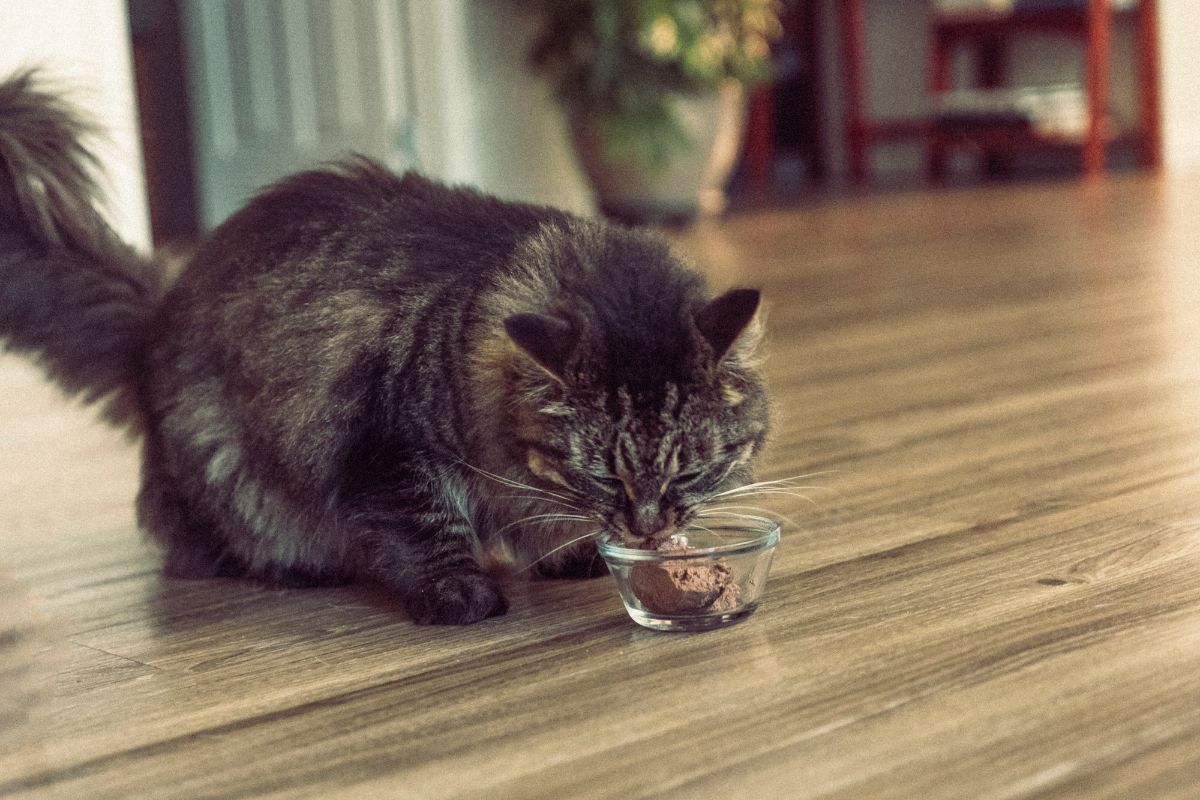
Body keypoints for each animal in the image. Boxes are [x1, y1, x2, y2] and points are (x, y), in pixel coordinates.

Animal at [0, 73, 768, 623]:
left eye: (690, 472)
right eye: (607, 477)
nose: (648, 527)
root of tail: (155, 324)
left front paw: (566, 552)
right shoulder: (389, 450)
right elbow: (430, 530)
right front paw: (462, 598)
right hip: (227, 470)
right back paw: (294, 569)